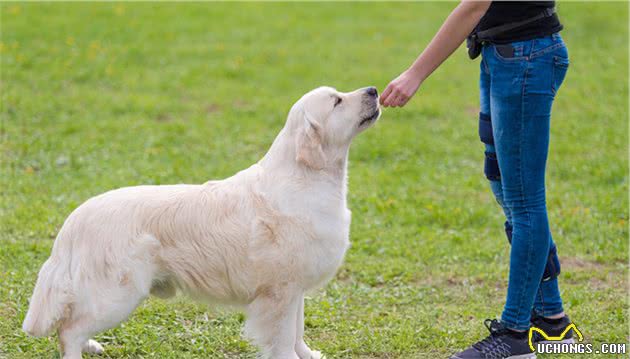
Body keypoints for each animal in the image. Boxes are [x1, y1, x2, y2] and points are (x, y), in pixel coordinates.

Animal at [22, 86, 382, 358]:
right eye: (336, 101)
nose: (374, 90)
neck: (308, 178)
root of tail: (75, 219)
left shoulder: (294, 290)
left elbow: (297, 332)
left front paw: (308, 354)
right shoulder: (277, 293)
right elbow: (282, 340)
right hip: (118, 295)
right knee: (68, 329)